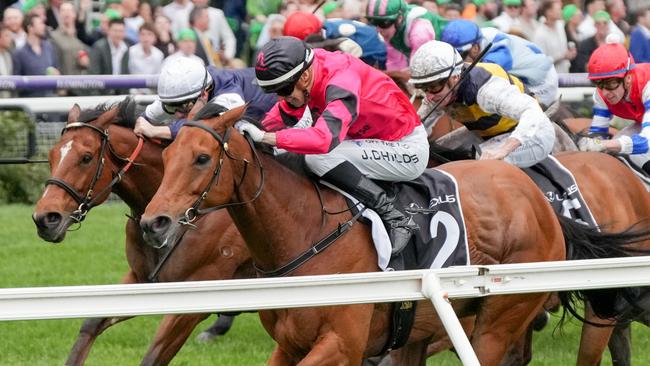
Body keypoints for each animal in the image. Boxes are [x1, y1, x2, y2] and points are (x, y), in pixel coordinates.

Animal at [32, 100, 253, 366]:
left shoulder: (194, 299)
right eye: (51, 156)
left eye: (86, 157)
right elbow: (90, 324)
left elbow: (152, 356)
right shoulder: (140, 279)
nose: (44, 219)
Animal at [140, 103, 644, 366]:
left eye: (202, 158)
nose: (153, 222)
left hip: (498, 322)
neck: (306, 232)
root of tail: (540, 202)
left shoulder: (341, 346)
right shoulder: (289, 344)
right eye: (165, 157)